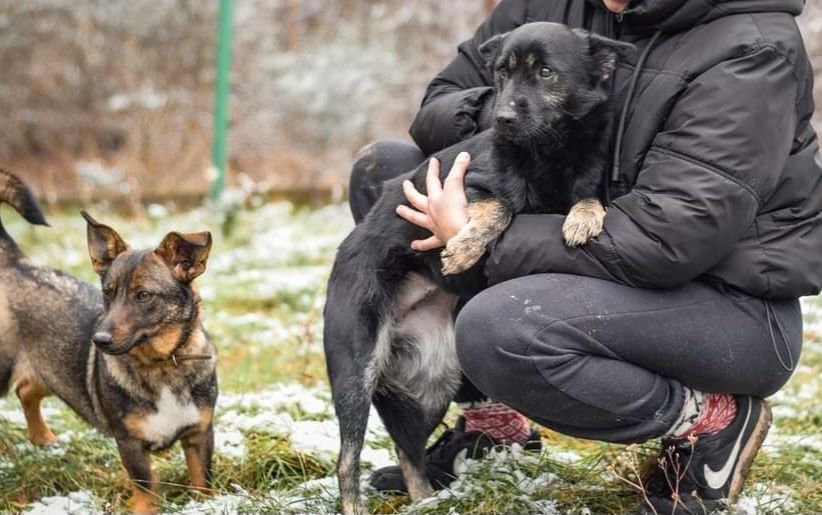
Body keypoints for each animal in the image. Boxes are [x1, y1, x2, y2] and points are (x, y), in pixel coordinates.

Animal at [0, 171, 217, 512]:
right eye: (107, 293)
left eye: (143, 295)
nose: (98, 340)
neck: (161, 365)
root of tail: (17, 264)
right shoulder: (130, 444)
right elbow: (145, 486)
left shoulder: (200, 434)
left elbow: (202, 480)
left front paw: (206, 504)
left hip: (53, 371)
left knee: (26, 390)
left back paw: (43, 438)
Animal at [326, 22, 636, 512]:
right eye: (501, 73)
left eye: (545, 72)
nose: (503, 117)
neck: (549, 150)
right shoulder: (467, 184)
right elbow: (501, 207)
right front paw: (464, 247)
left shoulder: (585, 173)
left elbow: (588, 196)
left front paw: (584, 217)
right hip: (357, 366)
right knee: (347, 458)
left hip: (435, 380)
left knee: (408, 449)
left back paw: (425, 500)